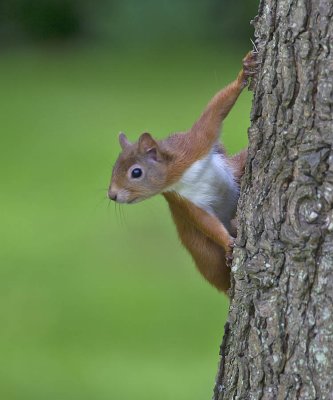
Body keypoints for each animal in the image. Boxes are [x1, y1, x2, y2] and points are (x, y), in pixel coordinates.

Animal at [109, 51, 256, 292]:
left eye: (136, 173)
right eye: (113, 168)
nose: (112, 195)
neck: (180, 174)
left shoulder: (197, 144)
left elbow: (215, 111)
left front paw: (244, 72)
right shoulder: (182, 200)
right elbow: (205, 221)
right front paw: (228, 244)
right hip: (203, 249)